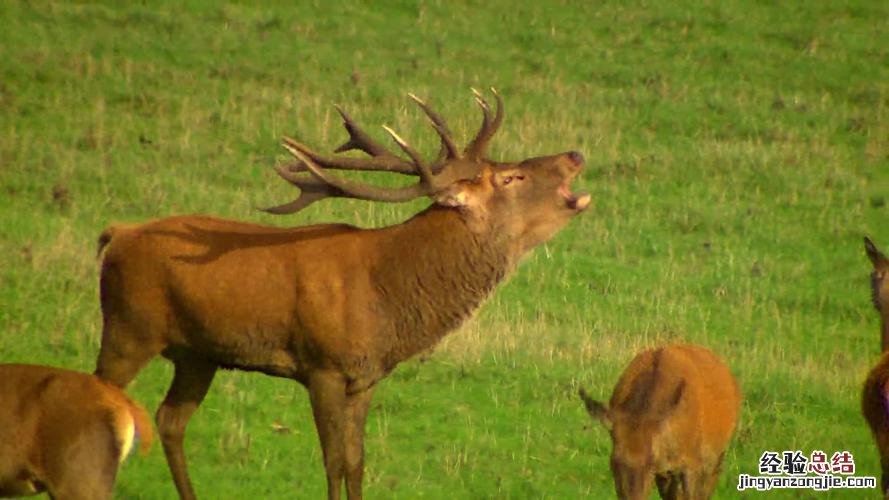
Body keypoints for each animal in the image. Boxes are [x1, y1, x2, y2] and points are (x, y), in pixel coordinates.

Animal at [93, 91, 588, 500]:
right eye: (511, 177)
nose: (575, 154)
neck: (387, 296)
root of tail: (116, 234)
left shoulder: (365, 376)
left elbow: (356, 463)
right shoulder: (323, 365)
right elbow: (332, 463)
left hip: (198, 354)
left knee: (171, 421)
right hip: (128, 327)